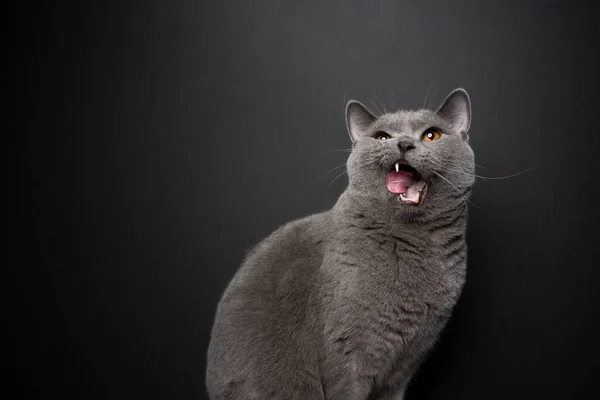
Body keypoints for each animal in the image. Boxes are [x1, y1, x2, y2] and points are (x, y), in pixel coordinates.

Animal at [205, 89, 474, 398]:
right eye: (382, 137)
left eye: (431, 135)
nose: (404, 143)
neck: (417, 245)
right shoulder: (348, 355)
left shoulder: (406, 364)